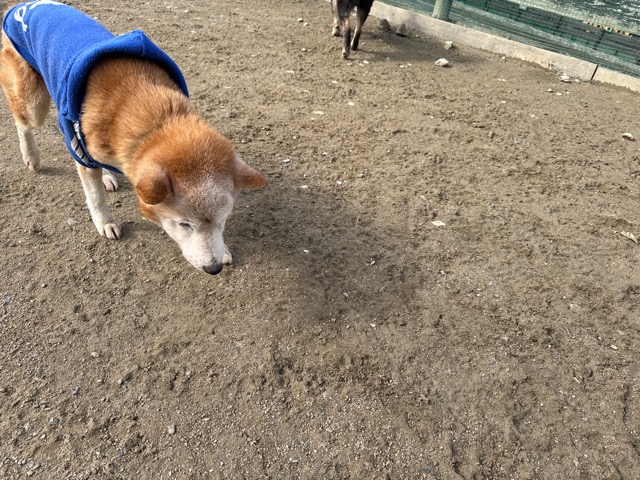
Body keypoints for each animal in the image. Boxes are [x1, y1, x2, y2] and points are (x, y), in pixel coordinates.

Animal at [0, 1, 267, 275]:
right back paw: (31, 156)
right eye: (184, 224)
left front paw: (223, 250)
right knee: (22, 122)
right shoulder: (80, 150)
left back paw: (107, 176)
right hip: (34, 102)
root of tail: (22, 6)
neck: (158, 119)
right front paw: (105, 222)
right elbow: (95, 197)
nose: (213, 268)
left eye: (223, 220)